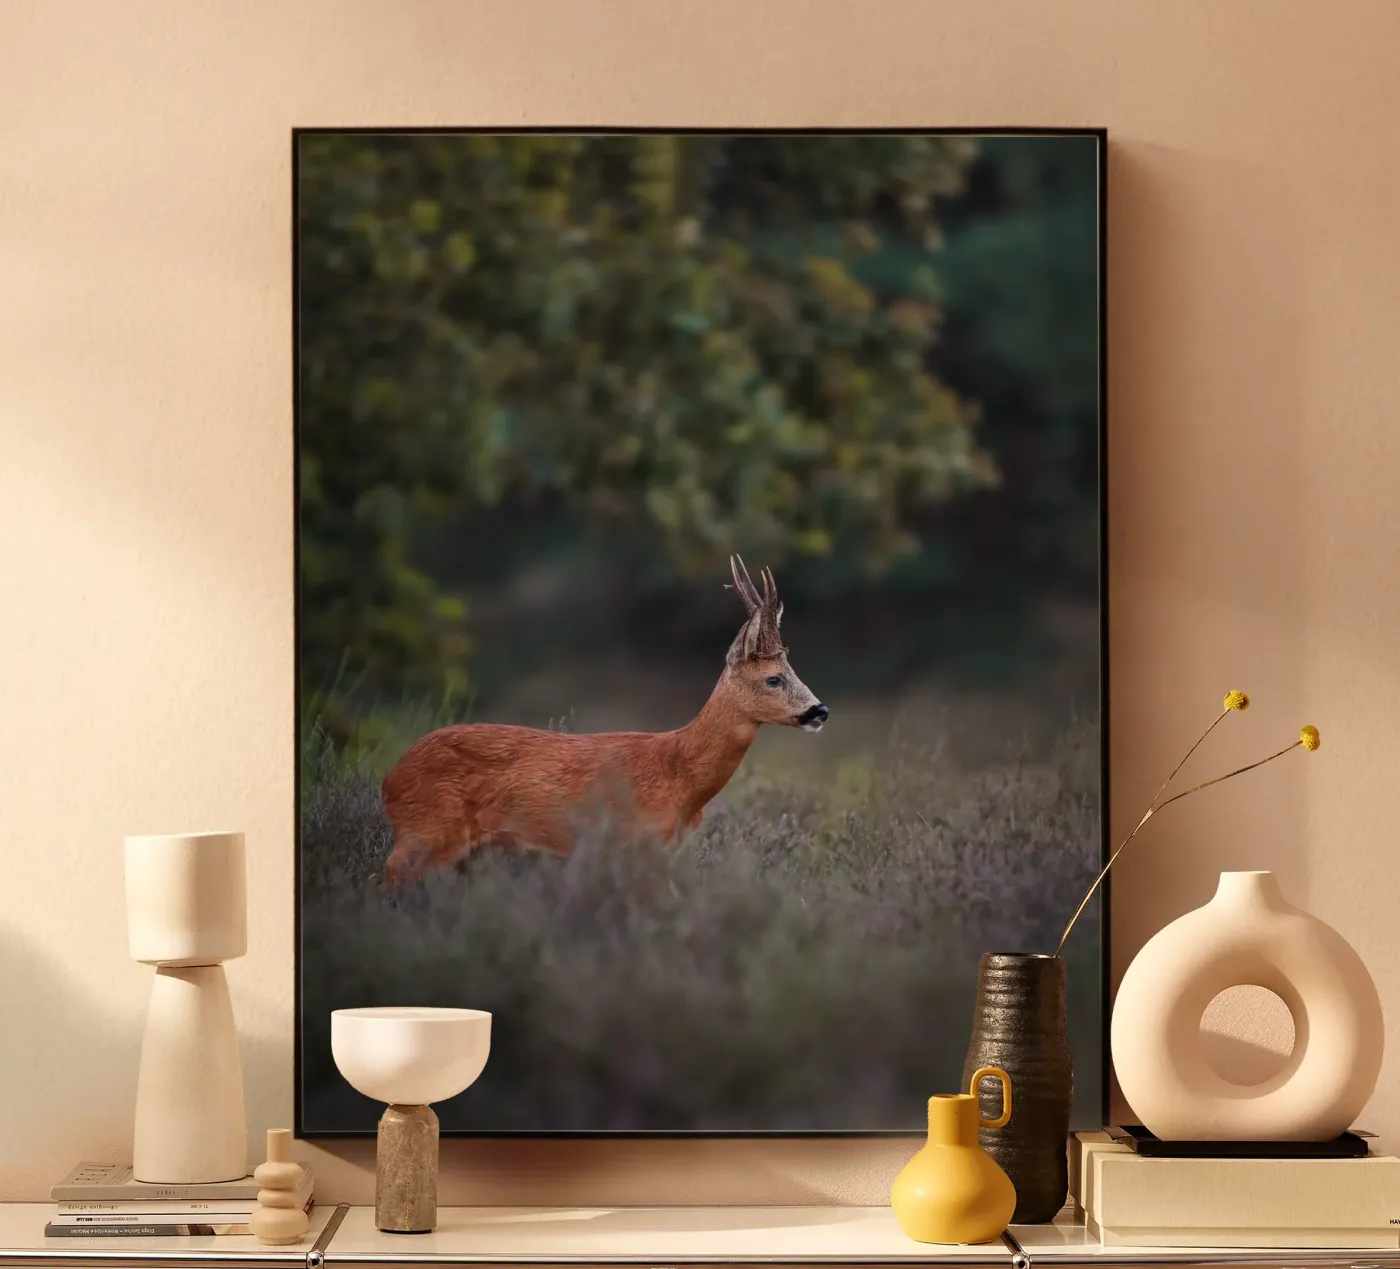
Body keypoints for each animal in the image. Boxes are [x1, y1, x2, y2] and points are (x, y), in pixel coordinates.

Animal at [378, 556, 828, 885]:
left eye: (792, 669)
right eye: (773, 678)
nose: (819, 710)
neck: (679, 775)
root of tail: (390, 780)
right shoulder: (636, 843)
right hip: (427, 832)